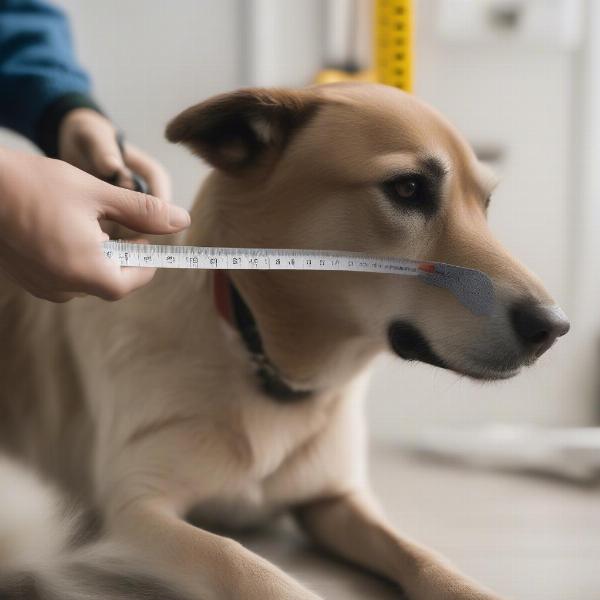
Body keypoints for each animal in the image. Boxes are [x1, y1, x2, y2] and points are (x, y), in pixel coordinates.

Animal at [0, 84, 568, 600]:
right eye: (408, 188)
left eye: (486, 203)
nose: (554, 328)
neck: (263, 360)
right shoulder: (133, 513)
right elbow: (240, 561)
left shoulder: (336, 501)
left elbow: (421, 555)